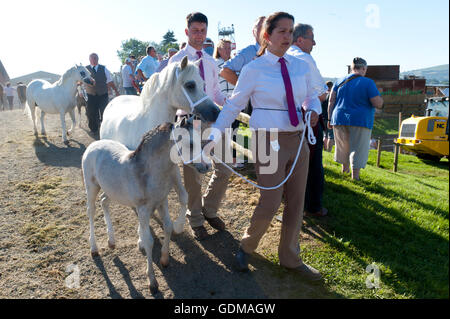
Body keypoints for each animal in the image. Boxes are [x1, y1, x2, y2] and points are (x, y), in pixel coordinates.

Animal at [82, 119, 209, 296]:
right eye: (190, 143)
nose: (207, 166)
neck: (149, 173)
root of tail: (93, 145)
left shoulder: (162, 202)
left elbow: (168, 227)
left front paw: (164, 259)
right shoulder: (143, 210)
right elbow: (149, 241)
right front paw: (153, 282)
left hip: (111, 190)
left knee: (104, 202)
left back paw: (112, 241)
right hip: (91, 186)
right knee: (91, 211)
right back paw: (94, 248)